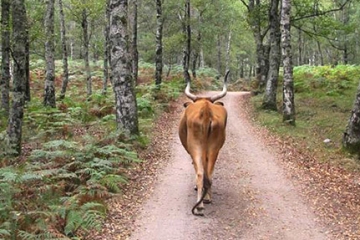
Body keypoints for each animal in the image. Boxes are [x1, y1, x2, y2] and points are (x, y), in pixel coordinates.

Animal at [179, 71, 229, 216]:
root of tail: (206, 109)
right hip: (214, 148)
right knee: (209, 173)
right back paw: (207, 198)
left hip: (195, 146)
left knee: (201, 173)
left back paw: (199, 206)